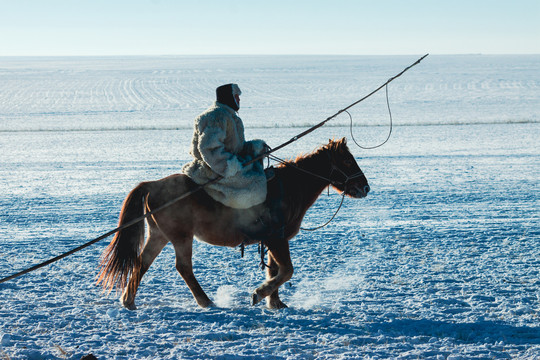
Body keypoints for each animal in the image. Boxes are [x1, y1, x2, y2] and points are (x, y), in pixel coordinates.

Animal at [97, 138, 370, 310]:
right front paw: (260, 294)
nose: (365, 187)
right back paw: (205, 301)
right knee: (183, 267)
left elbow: (275, 269)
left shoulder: (272, 240)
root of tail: (152, 185)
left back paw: (128, 301)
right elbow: (286, 270)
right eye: (347, 161)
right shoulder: (277, 238)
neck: (290, 187)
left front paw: (275, 303)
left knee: (142, 262)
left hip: (160, 235)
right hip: (181, 237)